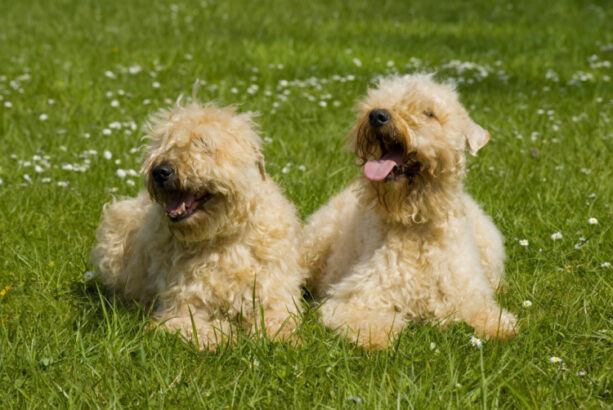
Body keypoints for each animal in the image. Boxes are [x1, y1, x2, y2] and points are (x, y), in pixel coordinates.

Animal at [89, 101, 304, 348]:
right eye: (163, 143)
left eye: (203, 144)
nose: (160, 171)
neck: (222, 238)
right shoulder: (179, 308)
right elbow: (199, 328)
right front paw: (226, 335)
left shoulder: (276, 296)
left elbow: (277, 321)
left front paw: (274, 337)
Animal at [302, 74, 516, 350]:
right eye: (378, 97)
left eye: (429, 113)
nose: (377, 115)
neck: (416, 225)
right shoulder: (355, 297)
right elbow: (367, 320)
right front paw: (379, 336)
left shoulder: (465, 291)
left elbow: (483, 311)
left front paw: (499, 326)